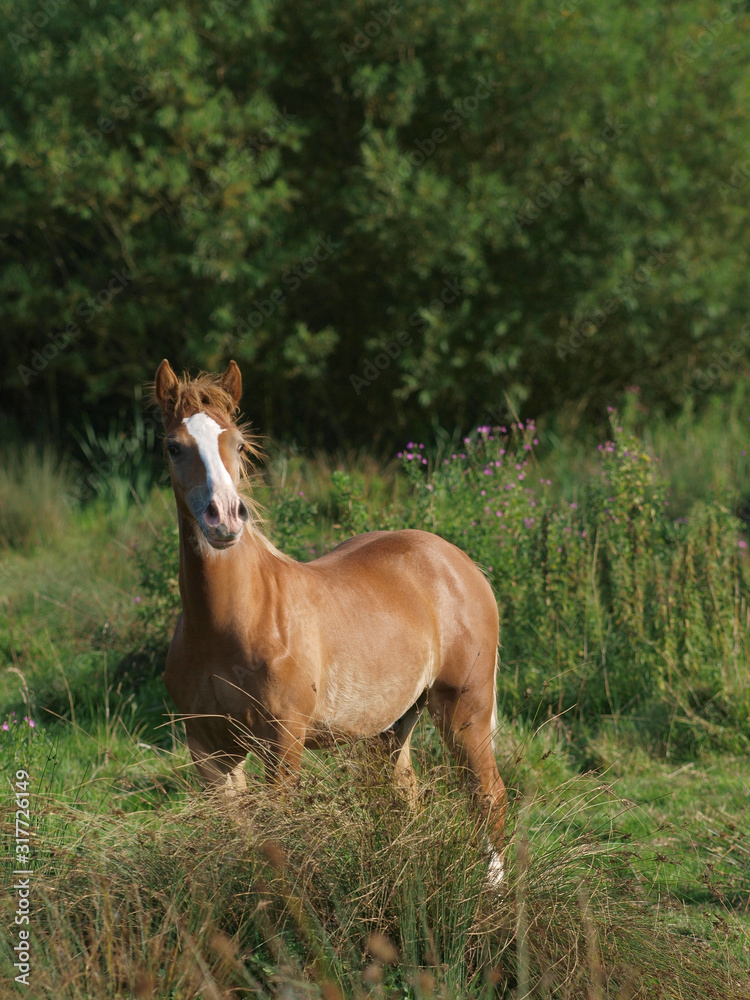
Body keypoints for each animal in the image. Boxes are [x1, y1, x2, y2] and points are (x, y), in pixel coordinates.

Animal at [153, 362, 508, 876]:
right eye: (173, 446)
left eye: (236, 443)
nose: (225, 518)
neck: (228, 625)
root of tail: (459, 562)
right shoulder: (208, 750)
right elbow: (239, 840)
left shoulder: (283, 743)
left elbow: (277, 839)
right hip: (392, 726)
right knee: (404, 797)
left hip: (465, 709)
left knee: (489, 798)